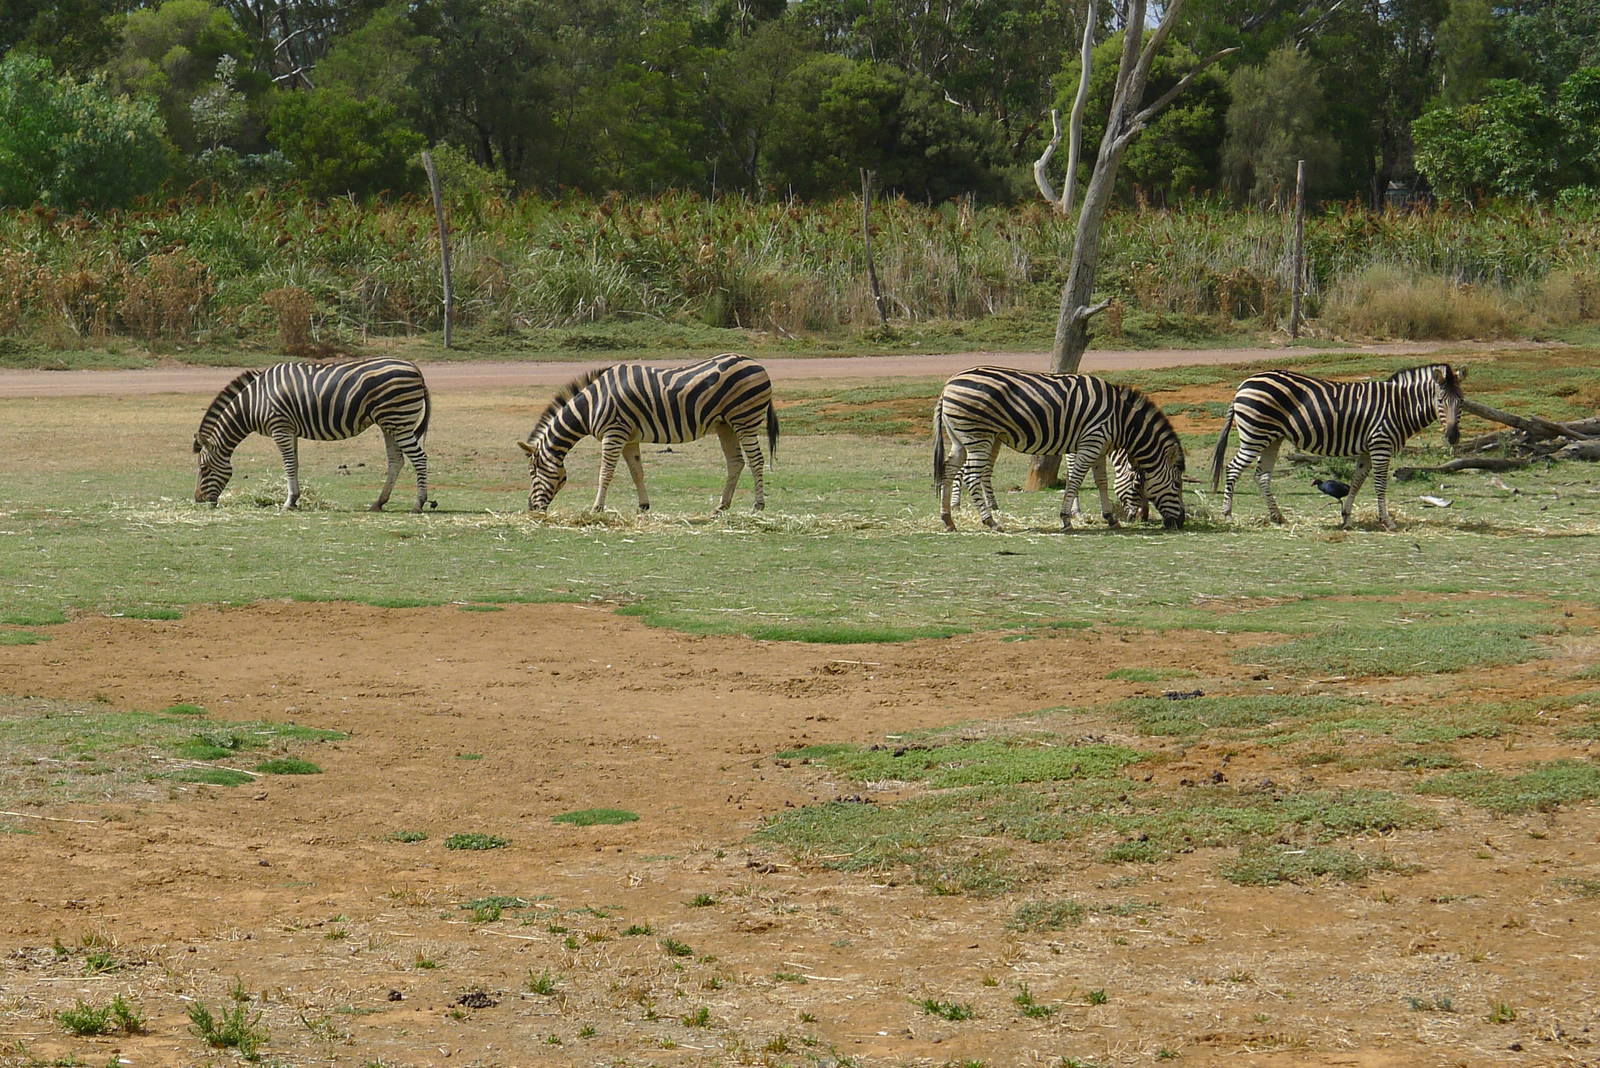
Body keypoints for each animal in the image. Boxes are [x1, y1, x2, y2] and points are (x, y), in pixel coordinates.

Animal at [193, 357, 432, 511]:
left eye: (204, 469)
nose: (198, 500)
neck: (252, 404)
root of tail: (415, 368)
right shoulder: (290, 430)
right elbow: (295, 464)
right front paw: (294, 499)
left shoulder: (280, 427)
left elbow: (288, 465)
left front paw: (288, 503)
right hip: (389, 423)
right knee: (396, 461)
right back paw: (379, 503)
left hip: (399, 420)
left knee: (419, 458)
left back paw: (418, 503)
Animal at [518, 352, 779, 513]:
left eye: (533, 472)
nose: (532, 509)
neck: (592, 405)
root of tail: (758, 364)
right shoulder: (628, 438)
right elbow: (637, 472)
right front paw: (643, 506)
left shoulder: (614, 433)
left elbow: (605, 473)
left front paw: (596, 509)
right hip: (725, 424)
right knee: (736, 462)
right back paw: (721, 507)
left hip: (744, 419)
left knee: (756, 460)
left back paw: (758, 505)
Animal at [932, 366, 1186, 531]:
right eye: (1176, 484)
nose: (1181, 522)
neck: (1121, 420)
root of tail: (948, 385)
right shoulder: (1089, 443)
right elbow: (1075, 479)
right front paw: (1067, 518)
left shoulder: (1099, 447)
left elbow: (1101, 481)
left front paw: (1110, 518)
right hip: (978, 436)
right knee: (971, 476)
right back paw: (991, 522)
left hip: (960, 438)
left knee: (949, 469)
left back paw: (948, 519)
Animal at [1210, 363, 1464, 531]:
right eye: (1440, 401)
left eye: (1461, 402)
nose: (1452, 437)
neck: (1399, 406)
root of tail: (1243, 385)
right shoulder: (1381, 444)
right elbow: (1380, 485)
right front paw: (1387, 521)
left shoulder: (1368, 449)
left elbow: (1357, 481)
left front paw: (1346, 516)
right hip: (1255, 434)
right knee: (1233, 469)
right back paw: (1228, 515)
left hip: (1272, 438)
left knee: (1261, 475)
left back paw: (1278, 517)